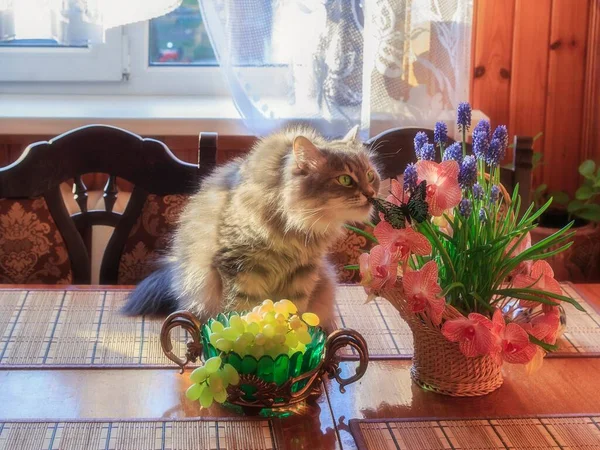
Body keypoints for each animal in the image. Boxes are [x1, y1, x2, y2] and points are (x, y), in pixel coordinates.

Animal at [123, 125, 380, 328]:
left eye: (370, 175)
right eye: (345, 179)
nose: (371, 194)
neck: (294, 226)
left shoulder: (303, 272)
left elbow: (294, 309)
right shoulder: (240, 267)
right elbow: (239, 310)